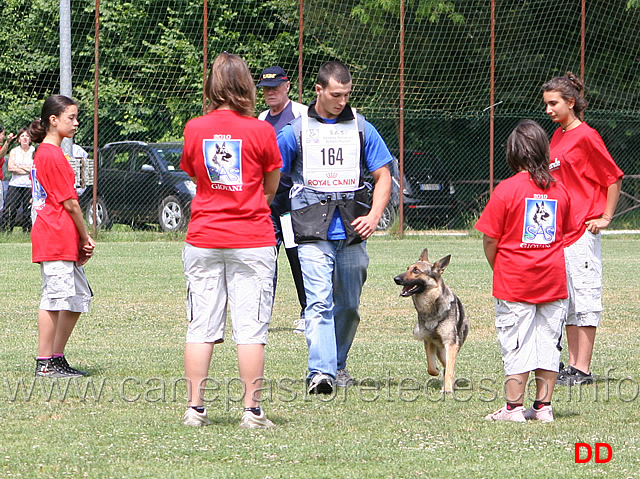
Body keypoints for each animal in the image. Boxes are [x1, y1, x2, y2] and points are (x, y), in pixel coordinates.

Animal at [392, 249, 468, 392]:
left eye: (416, 270)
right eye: (407, 268)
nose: (396, 279)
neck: (431, 306)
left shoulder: (451, 344)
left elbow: (449, 370)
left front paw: (448, 389)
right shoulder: (428, 340)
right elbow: (431, 367)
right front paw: (436, 371)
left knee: (450, 367)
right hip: (441, 351)